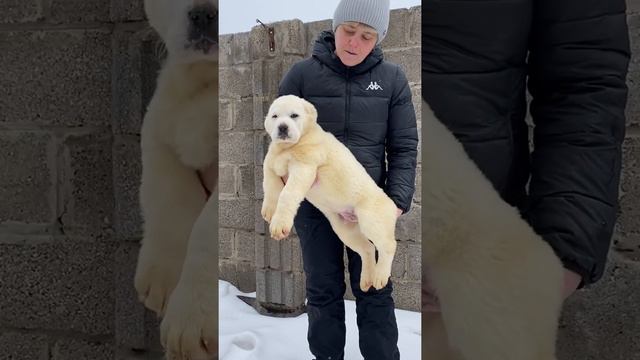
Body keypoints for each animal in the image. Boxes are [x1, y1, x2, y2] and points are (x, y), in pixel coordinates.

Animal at [262, 94, 398, 292]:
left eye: (294, 115)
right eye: (275, 116)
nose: (282, 127)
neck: (288, 147)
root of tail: (391, 204)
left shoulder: (304, 167)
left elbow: (287, 194)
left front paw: (279, 225)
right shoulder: (272, 162)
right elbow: (269, 183)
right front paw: (269, 210)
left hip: (372, 220)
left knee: (387, 245)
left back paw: (379, 277)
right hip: (345, 229)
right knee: (368, 248)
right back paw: (366, 280)